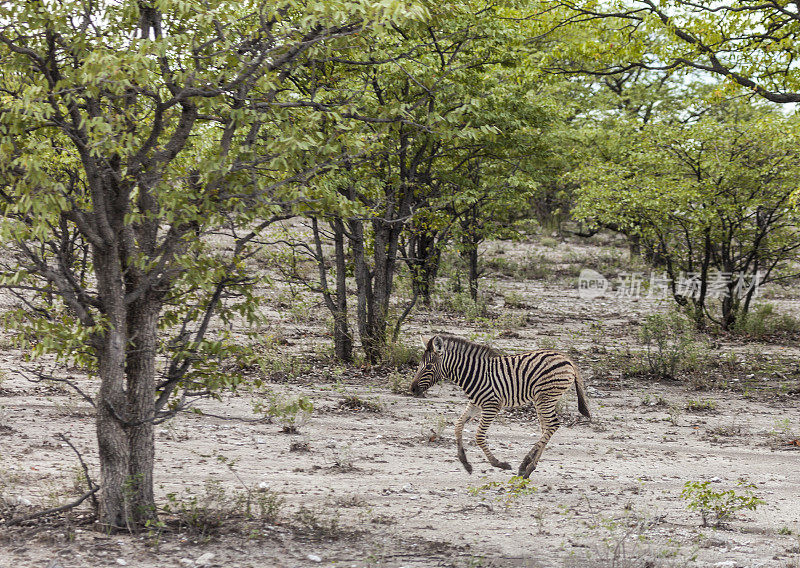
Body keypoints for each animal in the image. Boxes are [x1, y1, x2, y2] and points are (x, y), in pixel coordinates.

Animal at [412, 332, 588, 480]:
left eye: (428, 367)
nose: (412, 389)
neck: (473, 373)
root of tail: (566, 358)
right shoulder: (475, 404)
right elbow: (458, 425)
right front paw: (465, 463)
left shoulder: (492, 405)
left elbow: (479, 436)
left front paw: (498, 464)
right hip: (543, 400)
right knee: (546, 428)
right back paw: (529, 468)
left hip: (545, 397)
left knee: (552, 425)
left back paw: (526, 464)